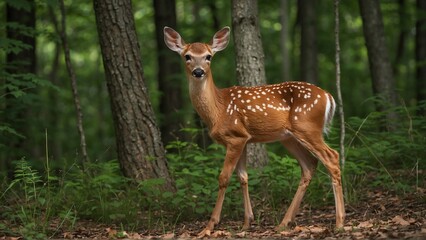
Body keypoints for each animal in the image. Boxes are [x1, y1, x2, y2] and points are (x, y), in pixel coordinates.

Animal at [162, 25, 342, 236]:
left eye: (208, 56)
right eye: (187, 56)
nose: (198, 71)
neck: (218, 110)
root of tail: (328, 96)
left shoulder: (234, 138)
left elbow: (224, 178)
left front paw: (209, 226)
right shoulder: (243, 138)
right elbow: (243, 177)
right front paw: (247, 222)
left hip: (307, 128)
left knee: (332, 157)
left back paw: (340, 222)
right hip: (289, 137)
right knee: (309, 165)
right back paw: (284, 222)